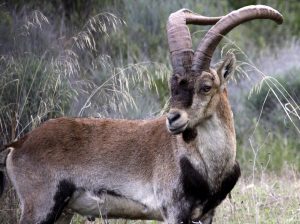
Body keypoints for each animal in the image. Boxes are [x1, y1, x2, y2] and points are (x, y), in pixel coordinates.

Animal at [0, 4, 282, 224]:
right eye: (173, 85)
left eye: (205, 86)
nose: (173, 119)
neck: (209, 165)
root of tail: (19, 144)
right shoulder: (173, 212)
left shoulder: (206, 215)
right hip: (41, 206)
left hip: (62, 211)